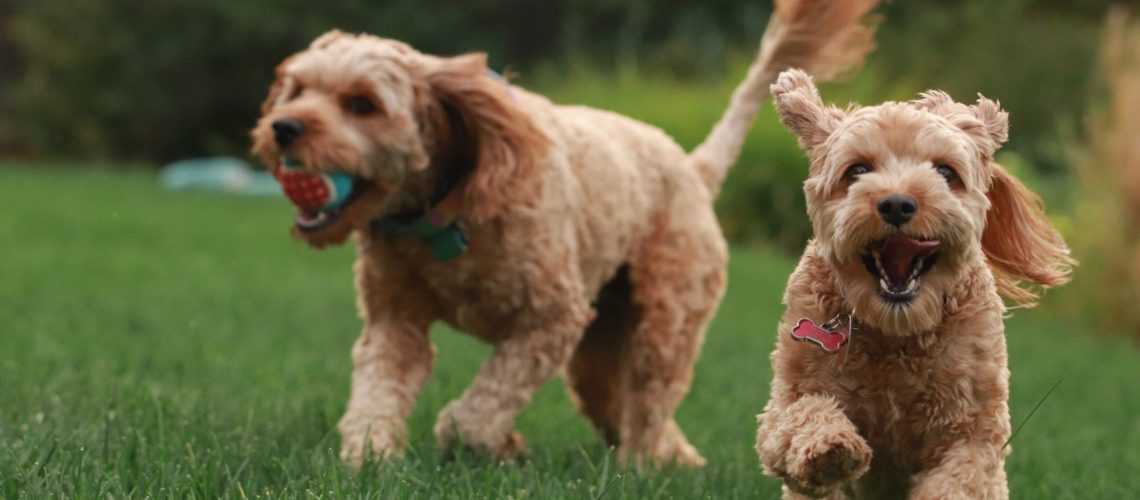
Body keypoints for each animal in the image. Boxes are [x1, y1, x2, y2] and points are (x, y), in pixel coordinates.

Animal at [752, 68, 1071, 498]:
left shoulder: (974, 429)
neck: (895, 330)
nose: (897, 203)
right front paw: (831, 449)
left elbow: (958, 476)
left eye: (946, 172)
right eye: (857, 170)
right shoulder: (789, 393)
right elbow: (800, 413)